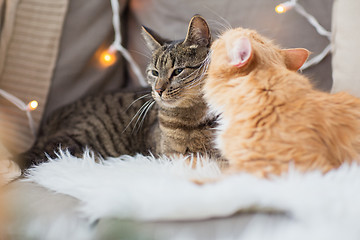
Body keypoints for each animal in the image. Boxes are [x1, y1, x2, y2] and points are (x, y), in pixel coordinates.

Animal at [14, 15, 219, 172]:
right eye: (154, 73)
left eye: (178, 71)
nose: (158, 90)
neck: (188, 120)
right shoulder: (168, 155)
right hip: (81, 136)